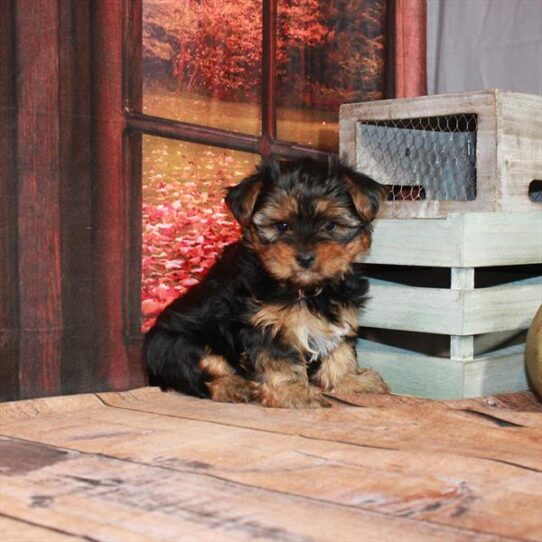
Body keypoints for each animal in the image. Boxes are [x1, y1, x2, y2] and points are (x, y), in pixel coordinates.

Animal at [144, 157, 392, 408]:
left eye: (331, 225)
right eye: (282, 226)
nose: (305, 257)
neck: (304, 289)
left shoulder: (341, 311)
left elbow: (340, 349)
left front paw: (350, 381)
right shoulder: (268, 324)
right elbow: (280, 359)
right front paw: (294, 393)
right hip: (172, 344)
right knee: (200, 370)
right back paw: (232, 386)